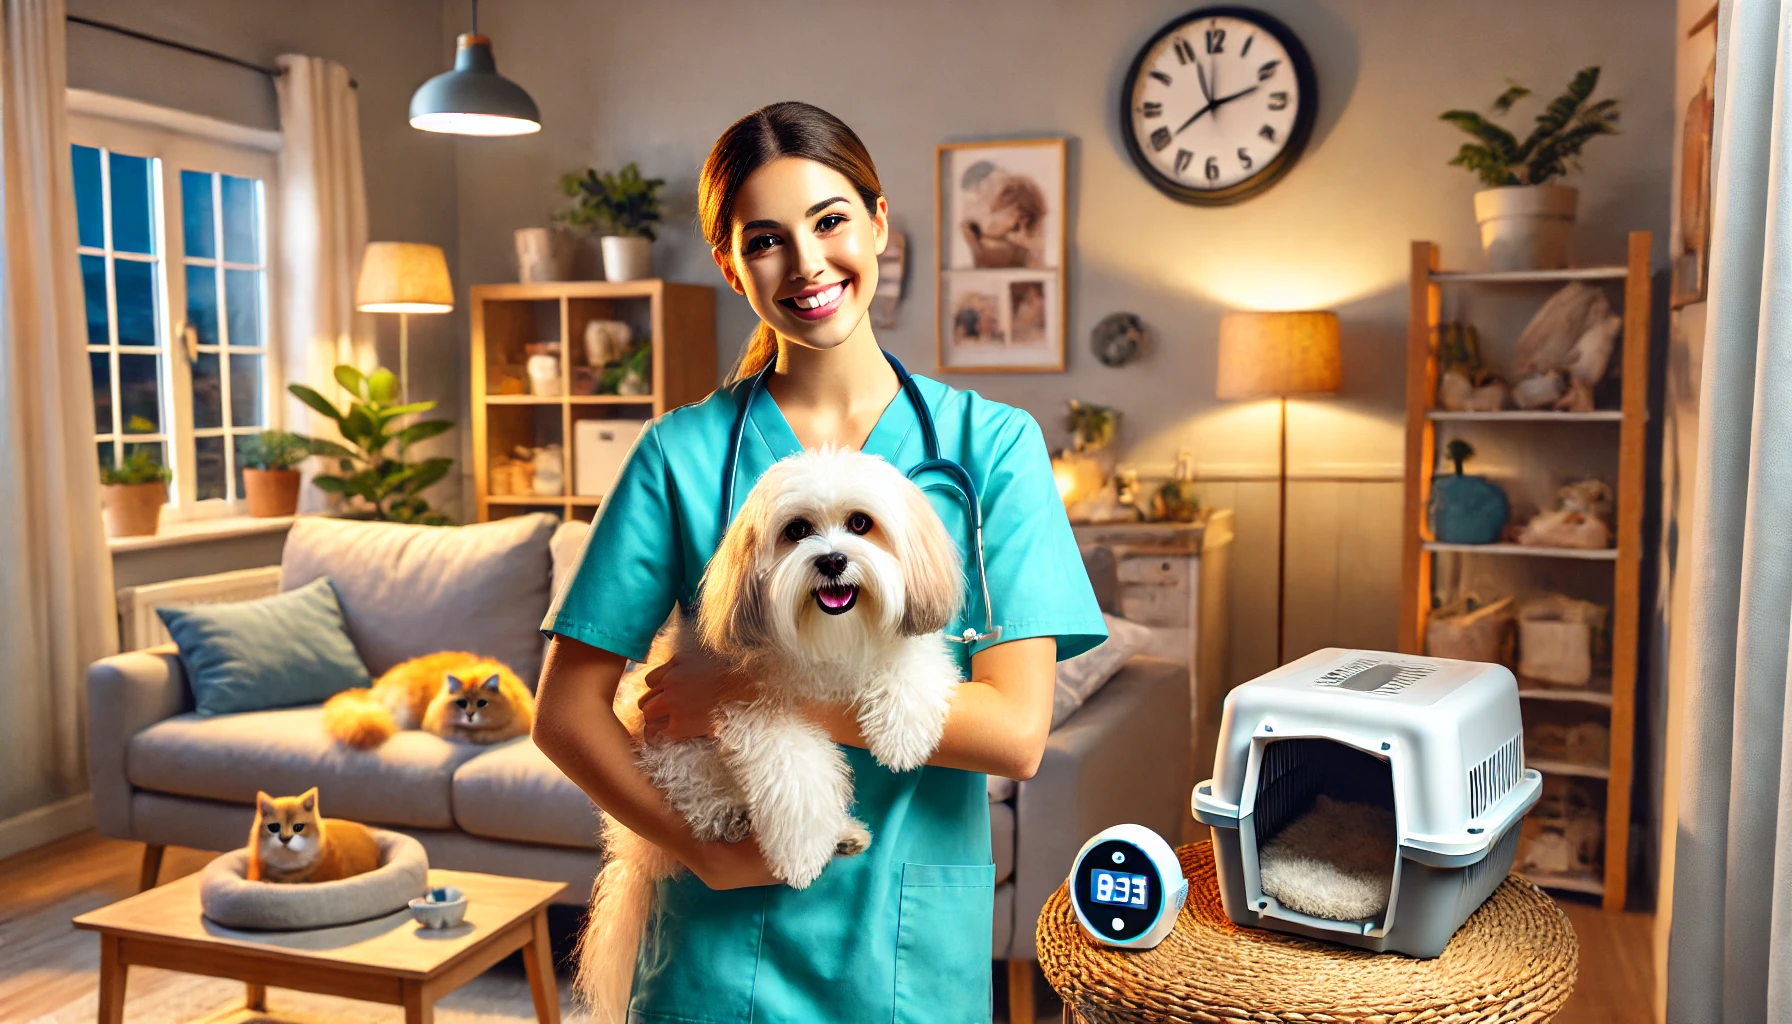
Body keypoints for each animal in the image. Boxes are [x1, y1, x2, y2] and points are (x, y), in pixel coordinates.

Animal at [573, 450, 967, 1024]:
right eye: (797, 531)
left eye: (861, 524)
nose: (832, 561)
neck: (828, 641)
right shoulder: (751, 708)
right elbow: (797, 773)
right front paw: (801, 854)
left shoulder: (899, 644)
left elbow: (911, 660)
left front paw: (902, 734)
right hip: (672, 746)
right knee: (695, 788)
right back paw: (735, 817)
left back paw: (844, 835)